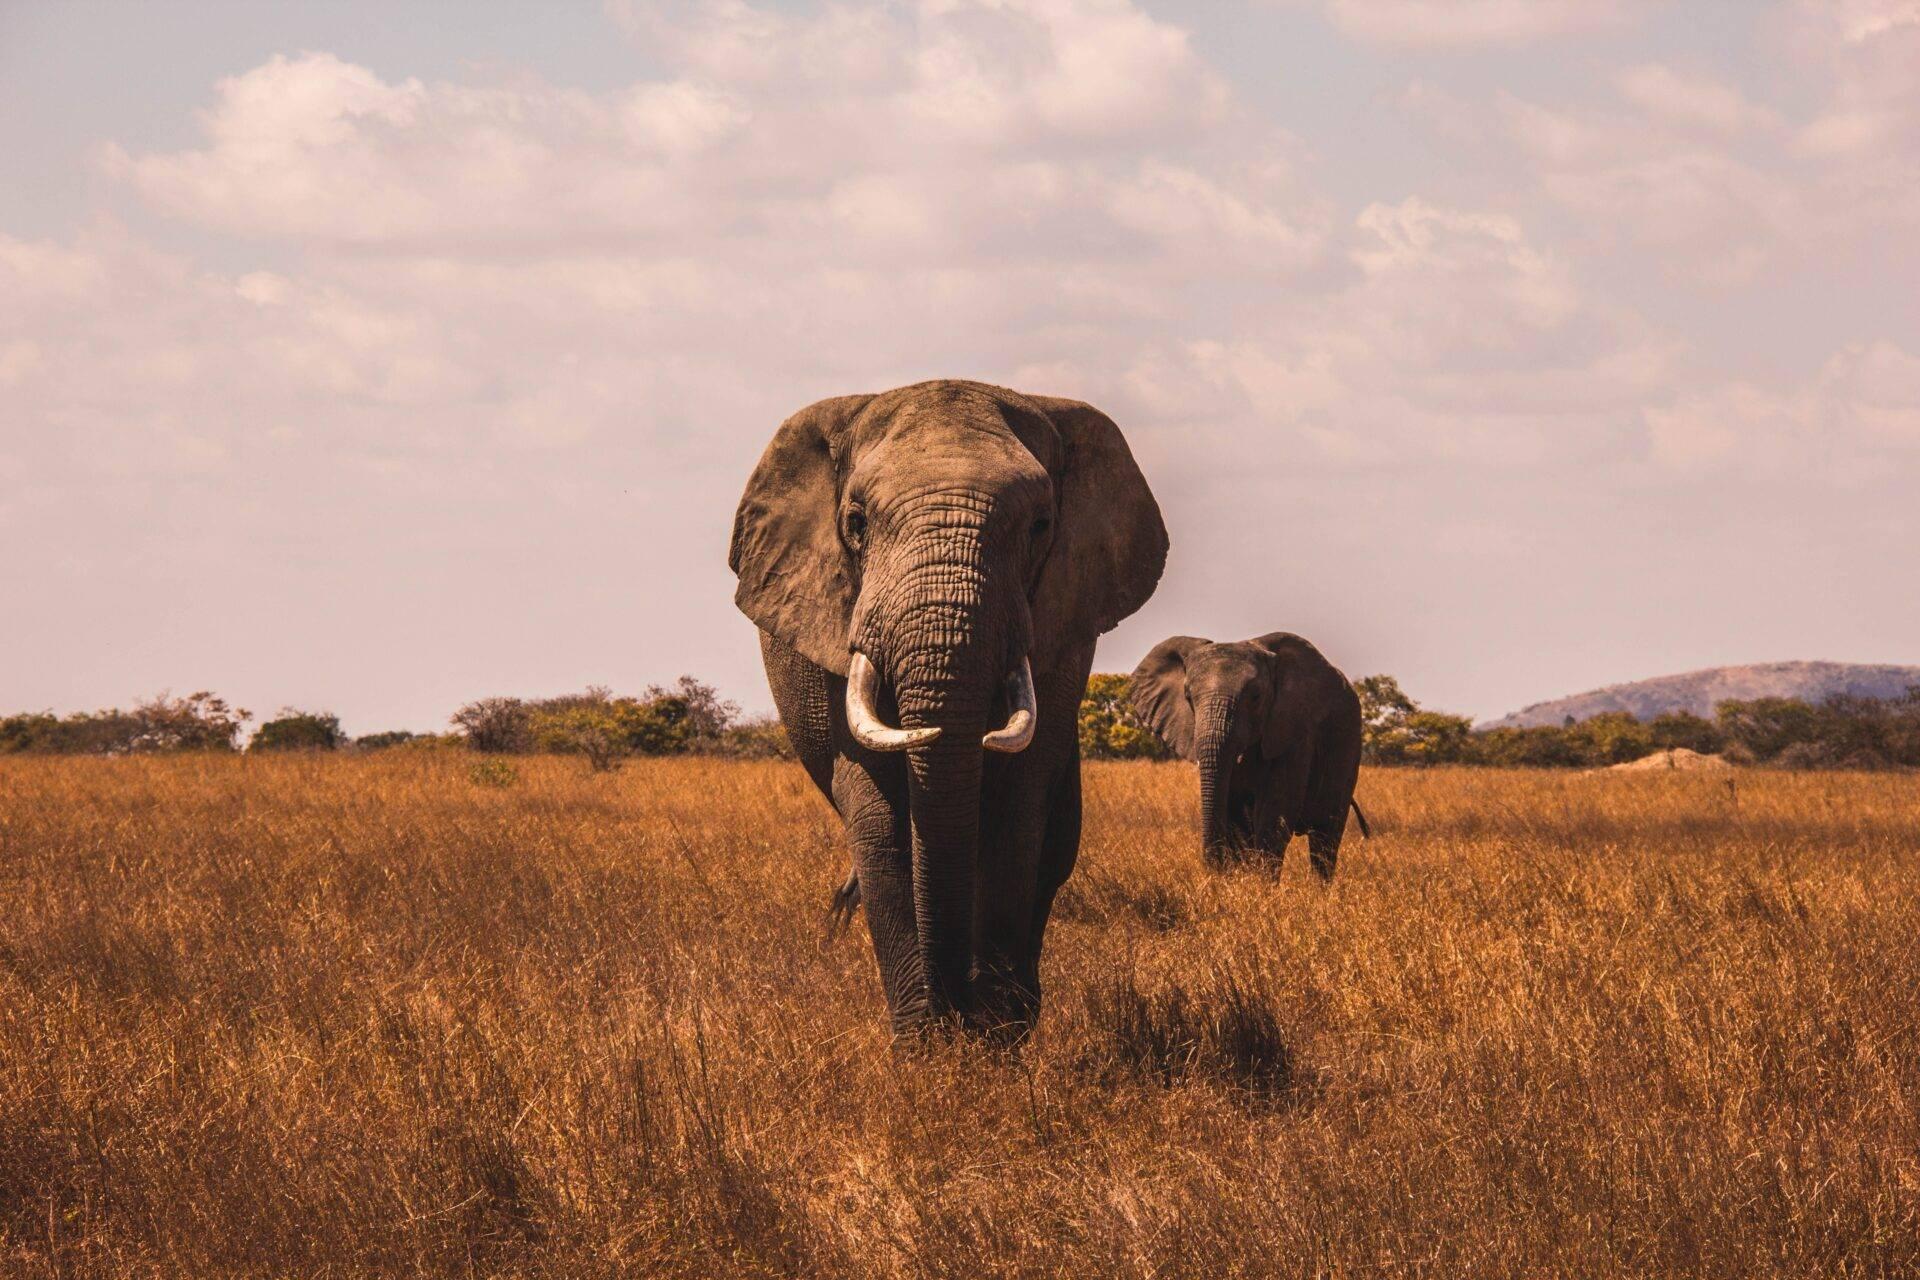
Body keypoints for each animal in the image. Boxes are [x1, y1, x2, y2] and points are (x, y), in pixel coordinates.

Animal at [729, 380, 1167, 1039]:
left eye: (1041, 526)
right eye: (855, 523)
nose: (955, 1009)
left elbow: (1016, 811)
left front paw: (995, 1037)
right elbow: (881, 820)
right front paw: (927, 1044)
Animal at [1129, 633, 1368, 875]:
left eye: (1256, 696)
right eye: (1188, 697)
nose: (1214, 870)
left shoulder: (1296, 730)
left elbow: (1275, 813)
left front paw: (1261, 884)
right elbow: (1236, 817)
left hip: (1348, 745)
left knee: (1325, 837)